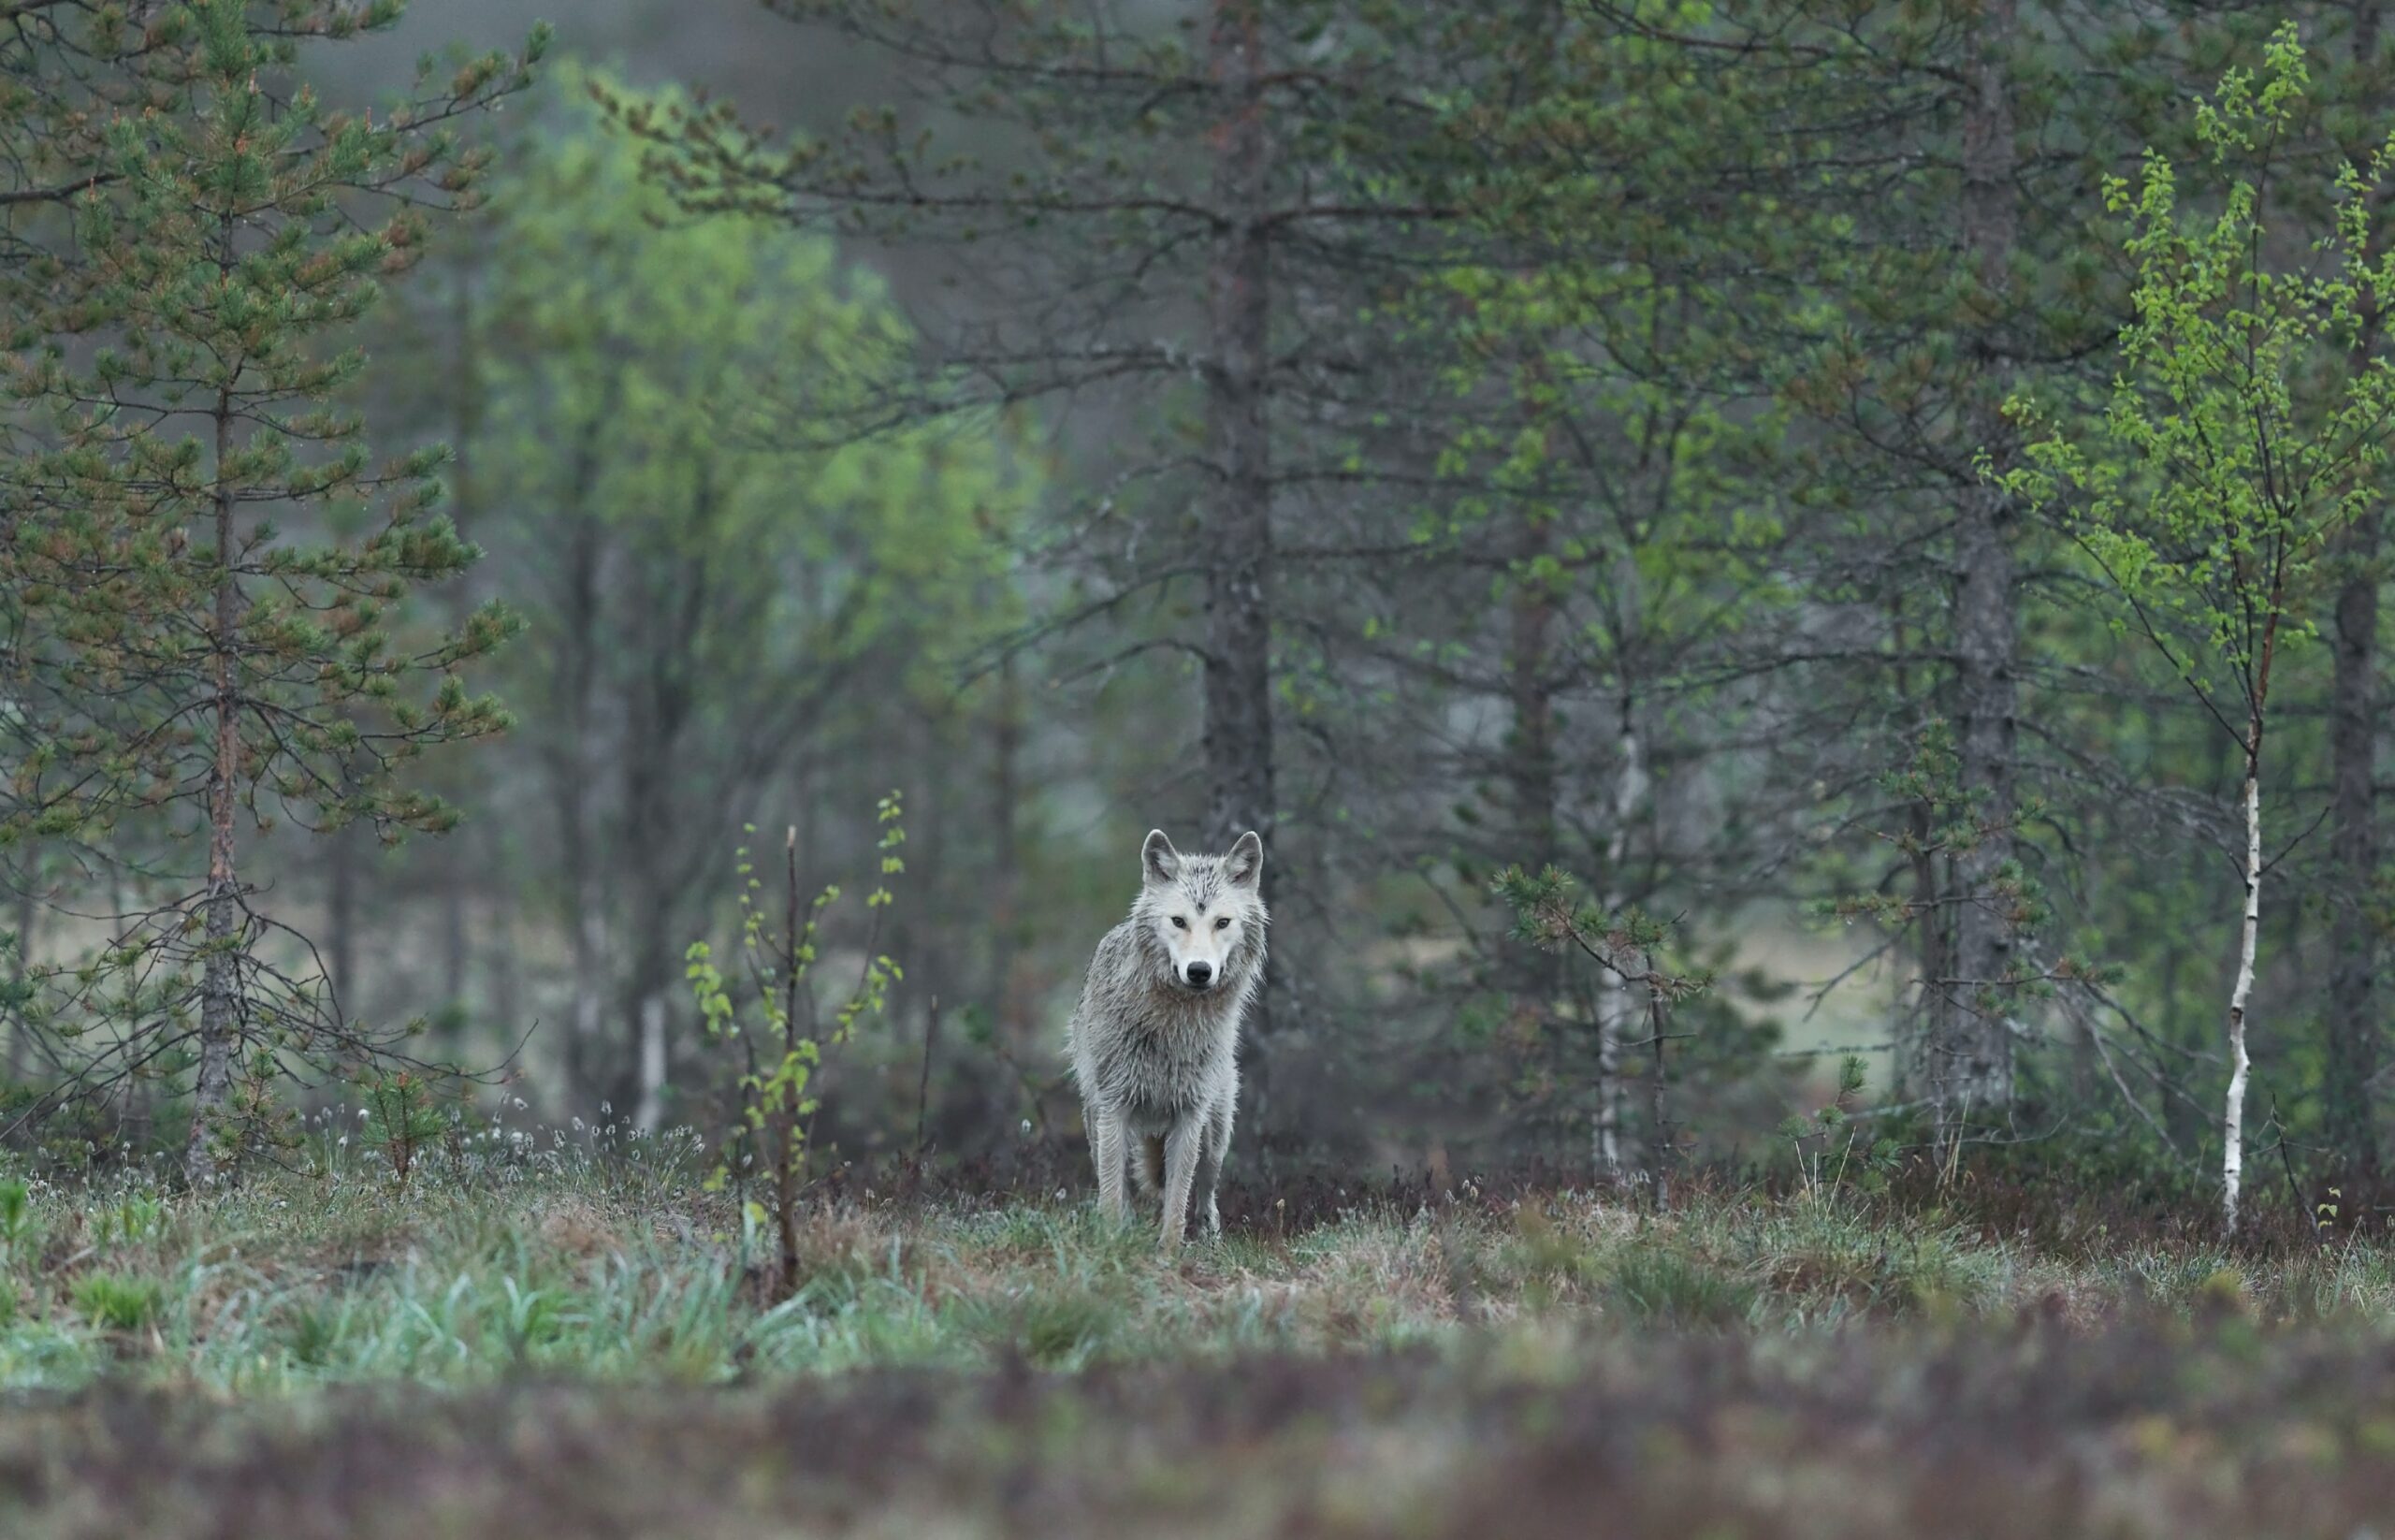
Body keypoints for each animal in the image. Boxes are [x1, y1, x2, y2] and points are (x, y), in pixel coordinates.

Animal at [1072, 833, 1273, 1255]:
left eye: (1222, 922)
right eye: (1179, 921)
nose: (1199, 971)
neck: (1173, 1028)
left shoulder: (1190, 1116)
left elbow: (1179, 1199)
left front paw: (1168, 1253)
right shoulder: (1114, 1108)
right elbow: (1113, 1195)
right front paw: (1112, 1245)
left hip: (1215, 1135)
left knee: (1204, 1195)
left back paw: (1210, 1240)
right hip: (1097, 1123)